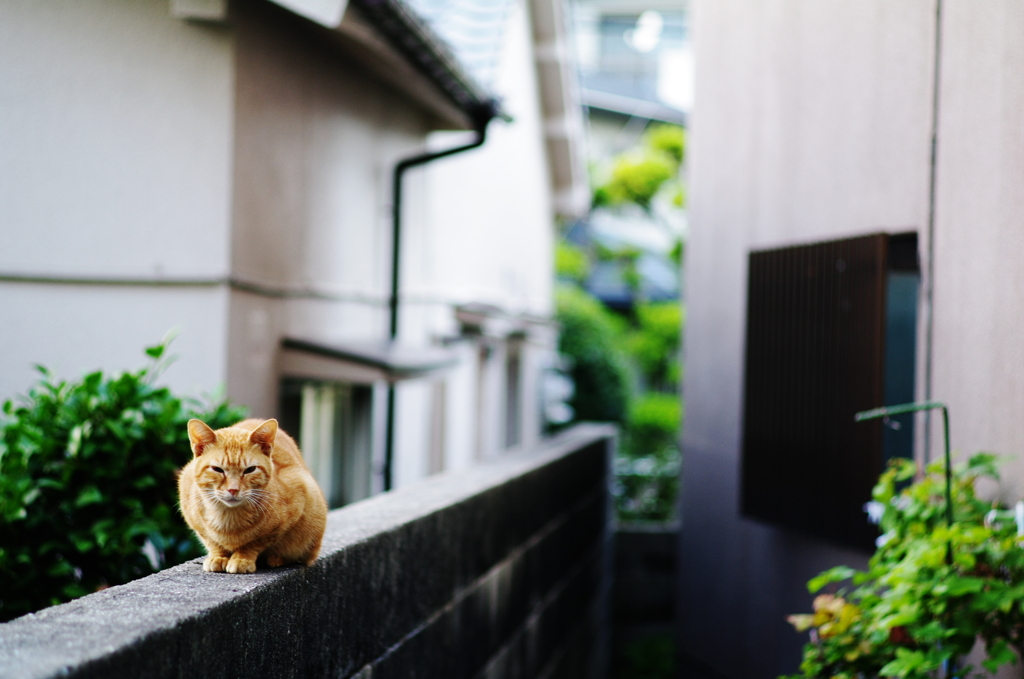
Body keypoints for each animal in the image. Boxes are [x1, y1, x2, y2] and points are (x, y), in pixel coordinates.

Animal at [178, 419, 325, 573]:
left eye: (250, 470)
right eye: (217, 469)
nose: (233, 489)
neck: (228, 518)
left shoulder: (297, 497)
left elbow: (253, 542)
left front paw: (242, 559)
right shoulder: (194, 519)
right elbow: (212, 541)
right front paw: (219, 556)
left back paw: (275, 559)